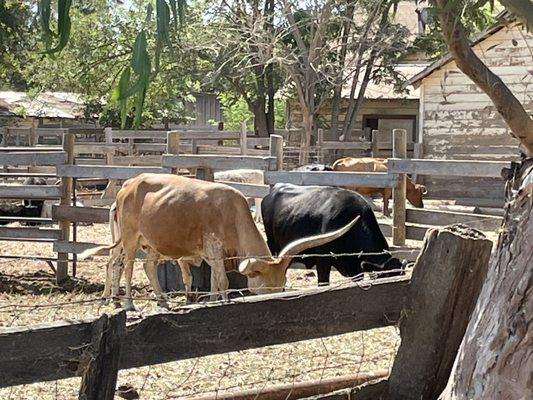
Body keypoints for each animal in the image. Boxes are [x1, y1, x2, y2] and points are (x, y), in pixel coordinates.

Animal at [81, 173, 360, 310]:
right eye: (264, 288)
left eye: (281, 287)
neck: (232, 213)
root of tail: (127, 187)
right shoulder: (214, 249)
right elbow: (223, 281)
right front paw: (221, 302)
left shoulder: (212, 255)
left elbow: (216, 281)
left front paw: (212, 301)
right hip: (129, 239)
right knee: (125, 267)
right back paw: (127, 303)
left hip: (154, 244)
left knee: (148, 267)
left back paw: (161, 301)